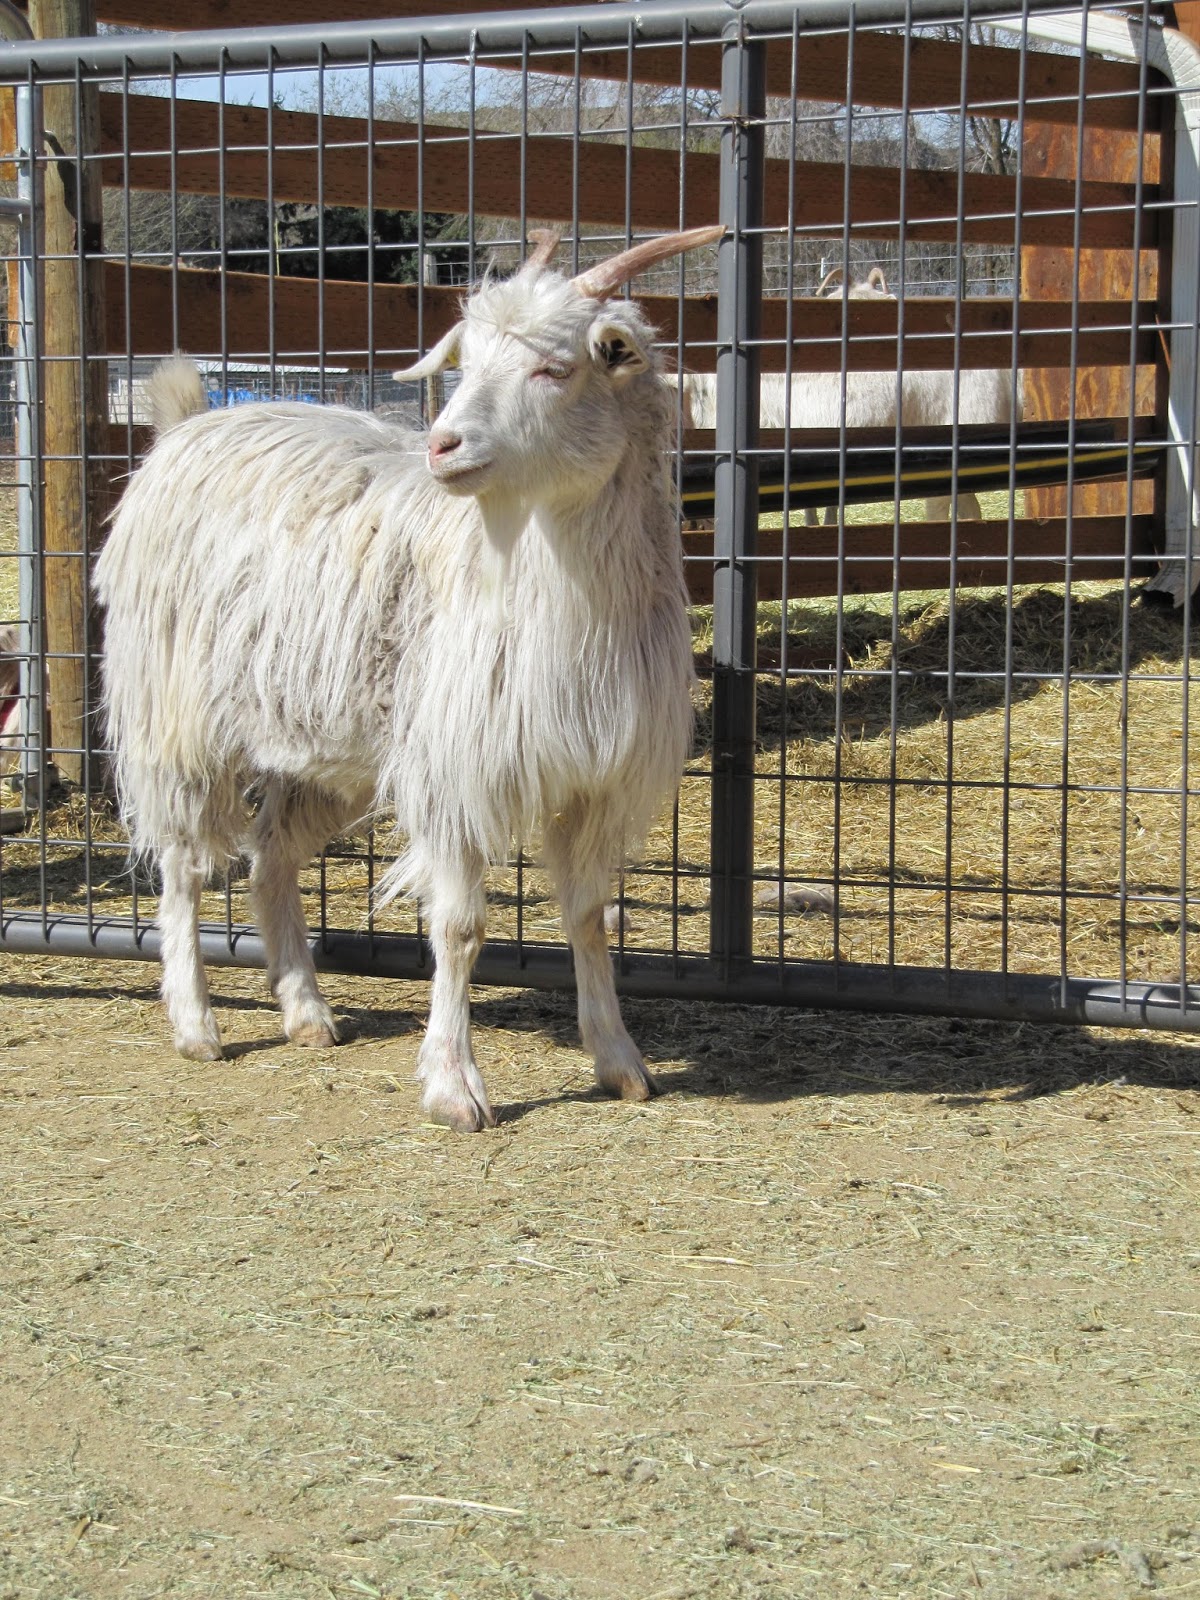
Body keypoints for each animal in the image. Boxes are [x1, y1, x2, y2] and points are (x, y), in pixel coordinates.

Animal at [94, 224, 721, 1131]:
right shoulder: (457, 773)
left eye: (556, 367)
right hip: (175, 718)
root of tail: (187, 425)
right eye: (467, 360)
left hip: (323, 747)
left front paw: (619, 1060)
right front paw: (454, 1085)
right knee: (185, 866)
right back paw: (196, 1023)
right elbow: (459, 928)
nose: (442, 446)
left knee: (269, 858)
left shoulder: (595, 779)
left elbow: (589, 916)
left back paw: (306, 1011)